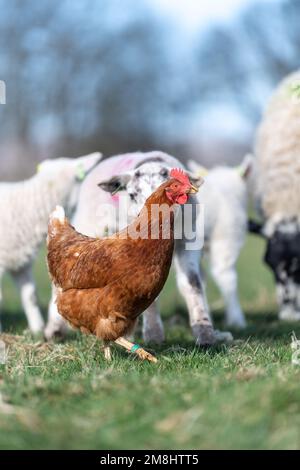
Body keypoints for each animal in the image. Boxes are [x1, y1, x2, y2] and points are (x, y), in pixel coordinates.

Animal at [44, 152, 250, 344]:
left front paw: (205, 332)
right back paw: (54, 330)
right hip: (88, 225)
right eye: (132, 195)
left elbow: (193, 283)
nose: (144, 220)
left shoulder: (188, 241)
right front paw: (153, 333)